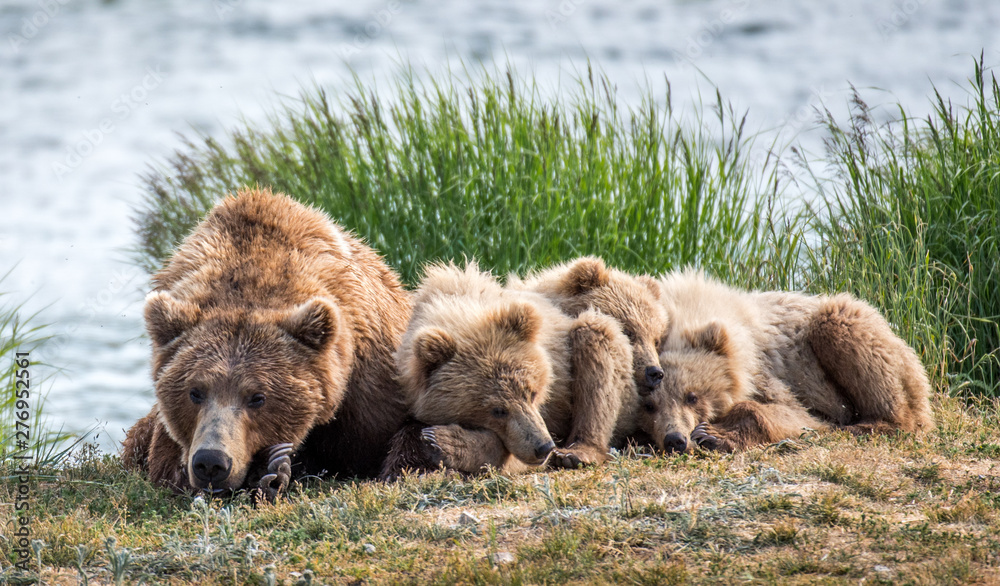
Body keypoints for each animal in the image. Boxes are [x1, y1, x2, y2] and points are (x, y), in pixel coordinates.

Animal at [121, 188, 410, 498]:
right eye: (195, 392)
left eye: (258, 397)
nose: (211, 462)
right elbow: (163, 460)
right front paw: (271, 470)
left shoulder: (369, 383)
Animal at [378, 260, 636, 474]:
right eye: (497, 410)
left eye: (533, 393)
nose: (544, 447)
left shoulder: (548, 405)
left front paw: (444, 442)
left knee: (595, 348)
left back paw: (578, 451)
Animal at [636, 270, 932, 452]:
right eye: (649, 406)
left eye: (692, 396)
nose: (675, 439)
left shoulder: (774, 370)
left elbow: (797, 415)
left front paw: (713, 435)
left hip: (852, 326)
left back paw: (870, 424)